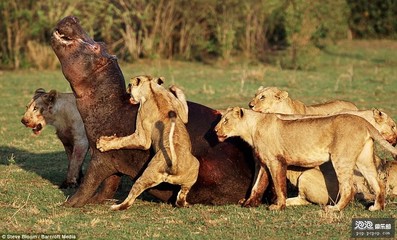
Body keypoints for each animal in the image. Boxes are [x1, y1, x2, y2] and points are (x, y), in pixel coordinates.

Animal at [96, 75, 198, 210]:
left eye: (130, 84)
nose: (127, 89)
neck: (151, 88)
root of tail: (173, 167)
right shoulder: (182, 113)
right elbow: (184, 105)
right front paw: (173, 88)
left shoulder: (142, 136)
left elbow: (124, 140)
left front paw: (103, 143)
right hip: (195, 167)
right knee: (181, 196)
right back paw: (185, 203)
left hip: (146, 176)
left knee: (129, 200)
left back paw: (115, 206)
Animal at [215, 108, 396, 211]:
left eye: (226, 120)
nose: (215, 130)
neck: (252, 128)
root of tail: (363, 121)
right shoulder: (262, 163)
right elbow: (256, 186)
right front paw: (248, 203)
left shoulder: (275, 161)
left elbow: (279, 186)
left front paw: (278, 206)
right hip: (363, 159)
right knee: (378, 184)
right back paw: (376, 208)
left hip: (341, 158)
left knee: (348, 188)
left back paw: (335, 209)